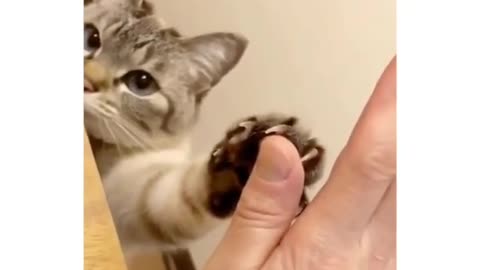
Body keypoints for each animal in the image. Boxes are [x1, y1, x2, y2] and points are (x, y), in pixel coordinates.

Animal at [84, 0, 324, 262]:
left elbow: (181, 196)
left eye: (141, 82)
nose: (86, 82)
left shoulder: (130, 200)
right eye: (91, 37)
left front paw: (256, 147)